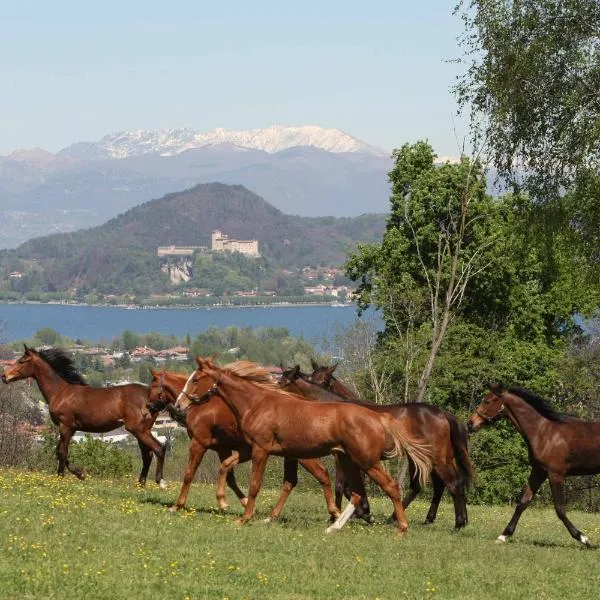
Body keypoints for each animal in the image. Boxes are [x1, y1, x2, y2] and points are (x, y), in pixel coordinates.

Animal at [2, 344, 168, 486]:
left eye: (21, 361)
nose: (4, 376)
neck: (61, 392)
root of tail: (152, 397)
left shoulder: (65, 426)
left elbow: (62, 452)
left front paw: (64, 476)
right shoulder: (71, 428)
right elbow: (59, 451)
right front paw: (79, 474)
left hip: (138, 430)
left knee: (158, 448)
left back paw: (160, 481)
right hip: (142, 430)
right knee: (147, 454)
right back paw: (140, 484)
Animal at [147, 366, 340, 520]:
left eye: (152, 387)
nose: (148, 407)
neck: (201, 406)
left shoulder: (199, 444)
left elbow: (189, 474)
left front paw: (178, 505)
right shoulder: (224, 449)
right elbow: (229, 476)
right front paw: (240, 503)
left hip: (303, 455)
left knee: (322, 474)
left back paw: (334, 513)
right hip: (291, 455)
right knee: (291, 481)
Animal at [173, 356, 432, 536]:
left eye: (196, 379)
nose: (179, 405)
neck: (258, 404)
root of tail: (380, 418)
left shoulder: (261, 450)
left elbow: (255, 485)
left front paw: (245, 517)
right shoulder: (249, 449)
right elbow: (228, 466)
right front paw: (228, 503)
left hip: (366, 461)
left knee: (391, 487)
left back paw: (401, 528)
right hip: (348, 460)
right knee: (357, 493)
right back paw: (334, 527)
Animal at [286, 360, 474, 528]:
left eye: (326, 380)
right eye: (312, 376)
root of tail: (443, 413)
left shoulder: (343, 457)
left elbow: (342, 487)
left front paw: (350, 514)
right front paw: (358, 513)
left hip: (437, 460)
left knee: (452, 484)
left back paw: (457, 523)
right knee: (434, 485)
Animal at [468, 384, 600, 548]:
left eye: (487, 401)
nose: (470, 423)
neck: (543, 432)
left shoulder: (555, 474)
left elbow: (560, 509)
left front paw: (583, 538)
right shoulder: (538, 472)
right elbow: (522, 503)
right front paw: (503, 536)